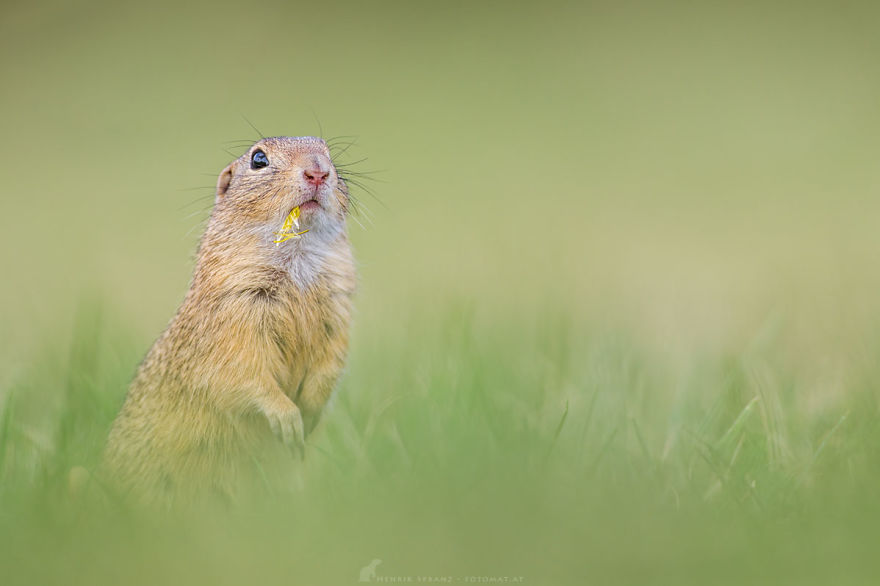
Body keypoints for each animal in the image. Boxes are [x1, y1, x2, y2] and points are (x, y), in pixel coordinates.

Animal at [102, 136, 356, 505]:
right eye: (259, 159)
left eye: (328, 152)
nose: (318, 171)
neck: (297, 258)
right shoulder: (232, 318)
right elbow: (244, 373)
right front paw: (288, 418)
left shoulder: (338, 310)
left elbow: (330, 364)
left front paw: (309, 411)